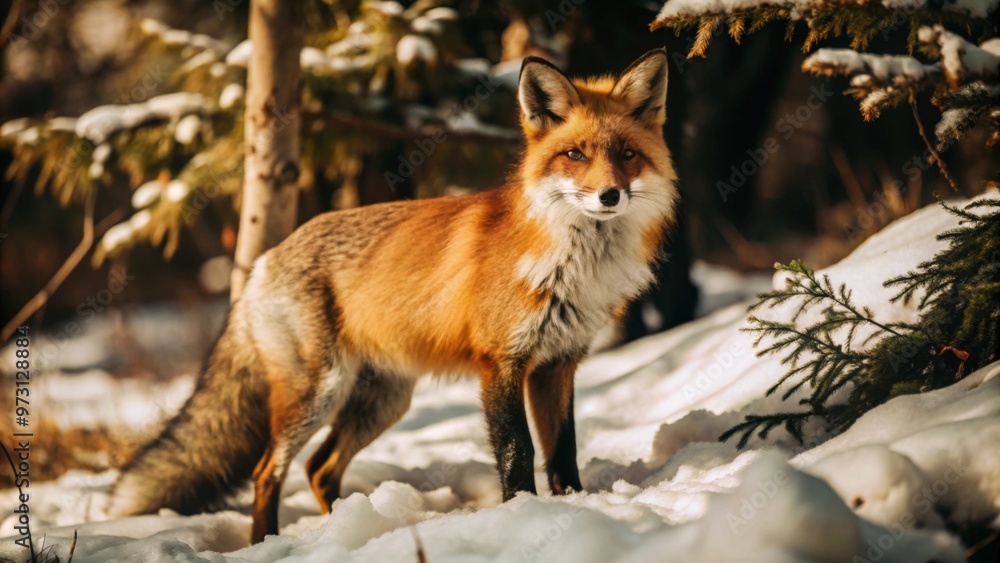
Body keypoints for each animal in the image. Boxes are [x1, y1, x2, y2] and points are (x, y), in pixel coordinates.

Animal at [107, 48, 679, 544]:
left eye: (627, 154)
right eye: (575, 154)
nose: (609, 195)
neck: (571, 264)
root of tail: (267, 258)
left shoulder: (557, 364)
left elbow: (563, 452)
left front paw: (575, 505)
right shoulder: (502, 363)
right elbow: (516, 455)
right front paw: (524, 515)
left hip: (381, 401)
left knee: (318, 468)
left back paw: (341, 527)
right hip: (318, 392)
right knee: (268, 469)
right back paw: (265, 541)